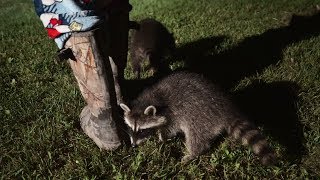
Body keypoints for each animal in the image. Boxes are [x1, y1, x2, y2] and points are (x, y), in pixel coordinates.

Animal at [119, 71, 276, 165]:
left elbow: (170, 129)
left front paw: (162, 138)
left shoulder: (173, 113)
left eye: (141, 130)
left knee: (196, 136)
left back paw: (192, 154)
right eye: (130, 127)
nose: (133, 146)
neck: (149, 99)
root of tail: (227, 110)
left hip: (201, 115)